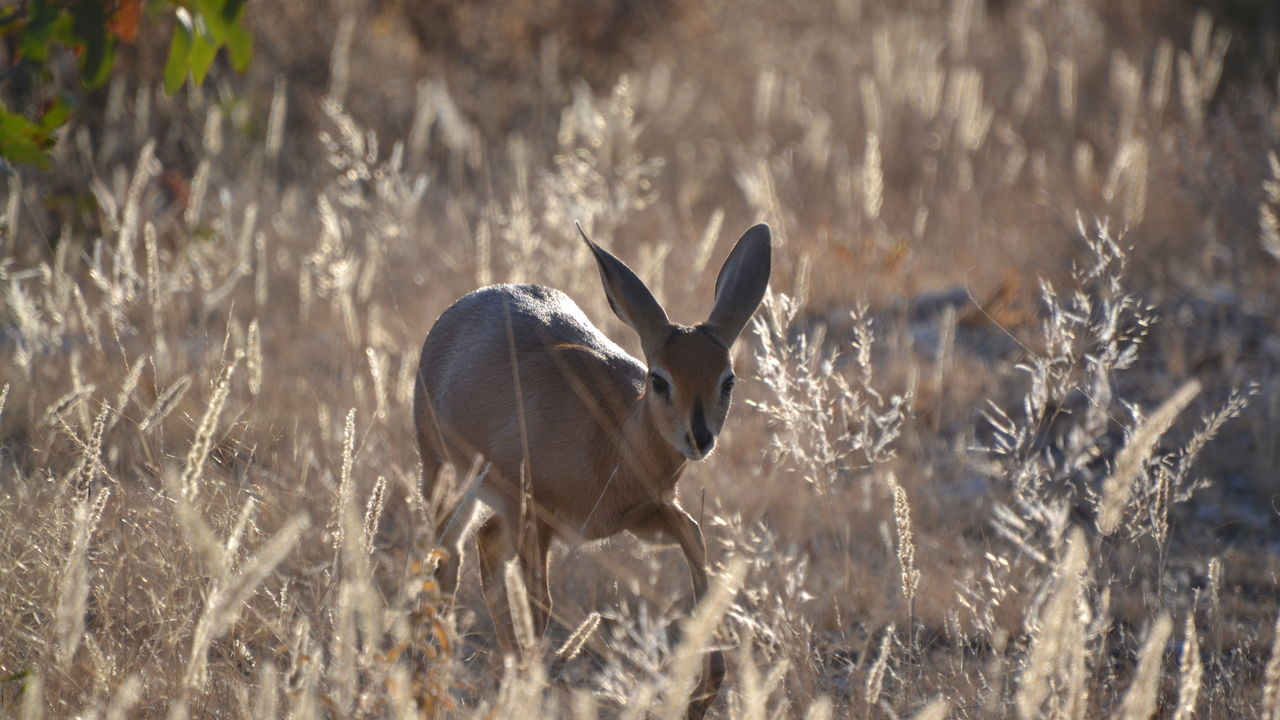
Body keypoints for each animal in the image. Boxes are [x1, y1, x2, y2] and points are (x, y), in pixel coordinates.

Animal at [412, 220, 768, 712]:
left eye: (727, 381)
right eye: (659, 379)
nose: (699, 437)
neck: (612, 440)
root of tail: (463, 306)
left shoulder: (647, 516)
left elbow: (696, 543)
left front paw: (703, 691)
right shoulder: (538, 518)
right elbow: (540, 608)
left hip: (506, 512)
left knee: (484, 544)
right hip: (451, 483)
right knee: (451, 557)